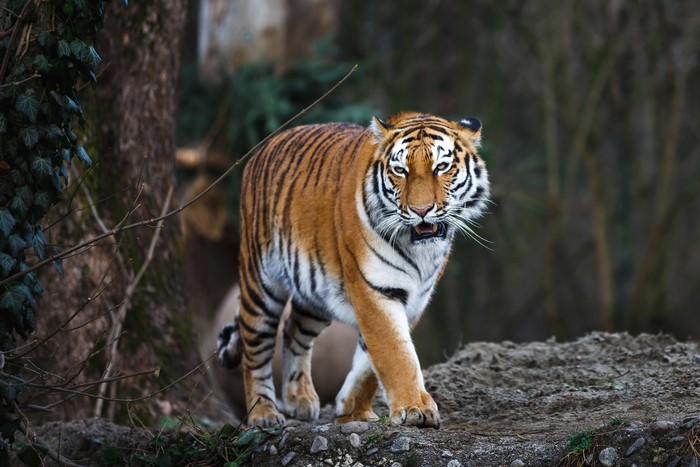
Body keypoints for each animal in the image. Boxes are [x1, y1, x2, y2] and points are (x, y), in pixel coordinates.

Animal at [217, 112, 490, 428]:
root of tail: (265, 146)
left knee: (292, 332)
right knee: (255, 350)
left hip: (314, 295)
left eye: (441, 167)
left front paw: (353, 410)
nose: (421, 210)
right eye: (400, 171)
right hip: (260, 284)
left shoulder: (415, 299)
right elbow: (395, 353)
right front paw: (415, 410)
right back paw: (263, 414)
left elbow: (370, 362)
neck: (420, 251)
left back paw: (299, 400)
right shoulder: (374, 289)